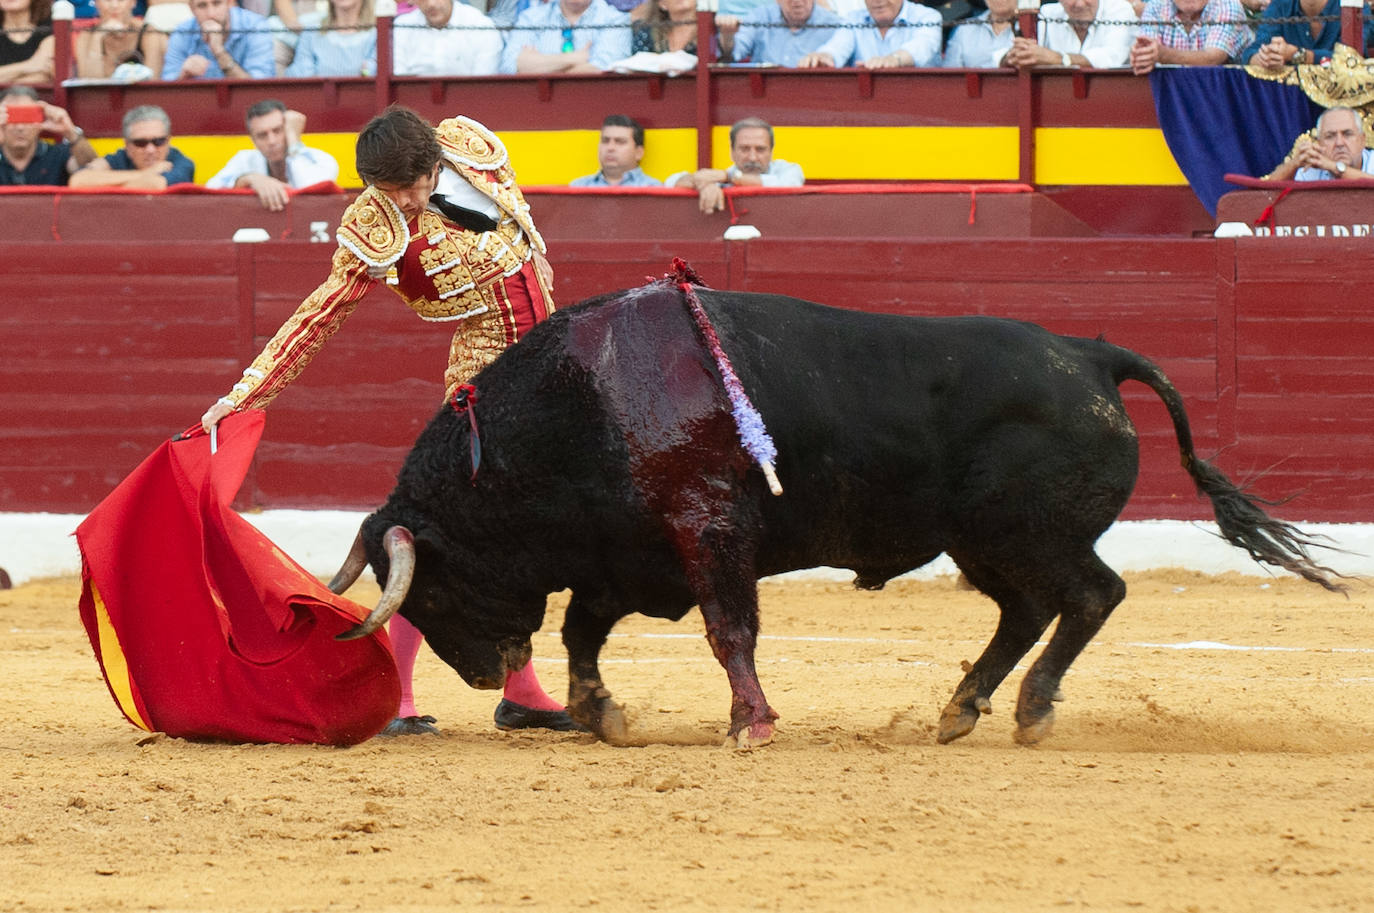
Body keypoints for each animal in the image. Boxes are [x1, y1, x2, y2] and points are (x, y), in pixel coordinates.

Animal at [324, 276, 1341, 748]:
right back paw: (960, 708)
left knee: (1090, 596)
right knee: (1027, 611)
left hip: (1029, 531)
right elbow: (583, 630)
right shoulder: (630, 552)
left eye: (430, 585)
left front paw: (752, 724)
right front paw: (599, 713)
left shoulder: (710, 534)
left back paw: (1030, 710)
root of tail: (1091, 356)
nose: (479, 674)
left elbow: (729, 630)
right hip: (981, 544)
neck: (581, 406)